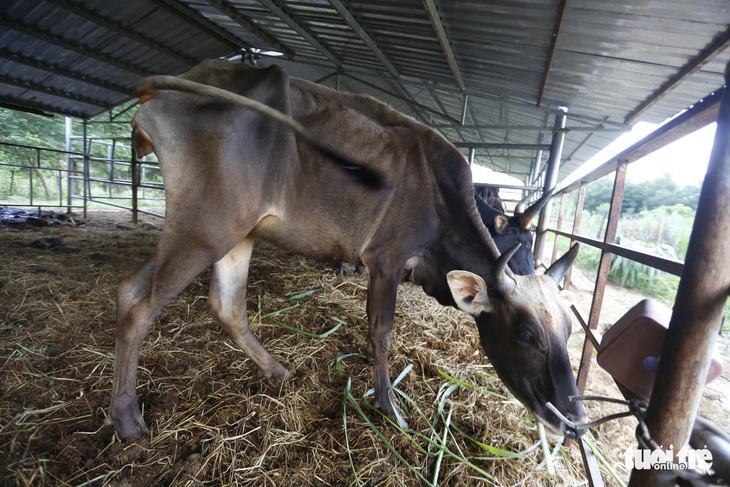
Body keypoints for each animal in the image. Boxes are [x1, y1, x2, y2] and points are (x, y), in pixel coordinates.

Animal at [108, 58, 584, 442]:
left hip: (238, 232)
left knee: (227, 305)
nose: (576, 421)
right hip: (208, 224)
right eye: (526, 334)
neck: (441, 201)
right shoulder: (387, 259)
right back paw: (127, 419)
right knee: (137, 297)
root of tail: (195, 75)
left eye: (569, 331)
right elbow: (381, 330)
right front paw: (389, 407)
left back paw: (278, 370)